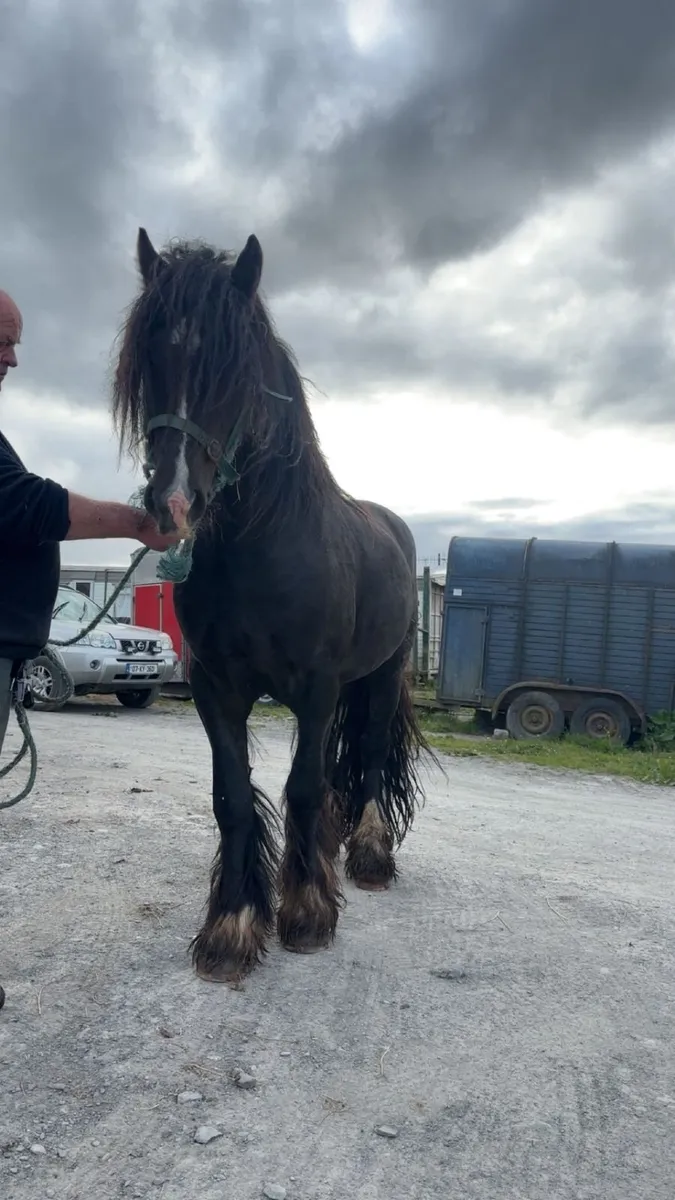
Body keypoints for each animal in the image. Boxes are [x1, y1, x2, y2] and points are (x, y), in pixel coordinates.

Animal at [113, 227, 432, 982]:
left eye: (235, 369)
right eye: (151, 359)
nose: (172, 504)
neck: (261, 553)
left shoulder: (315, 689)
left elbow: (305, 787)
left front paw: (307, 914)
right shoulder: (214, 687)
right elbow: (232, 795)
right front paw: (232, 925)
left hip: (381, 675)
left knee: (367, 755)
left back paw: (367, 855)